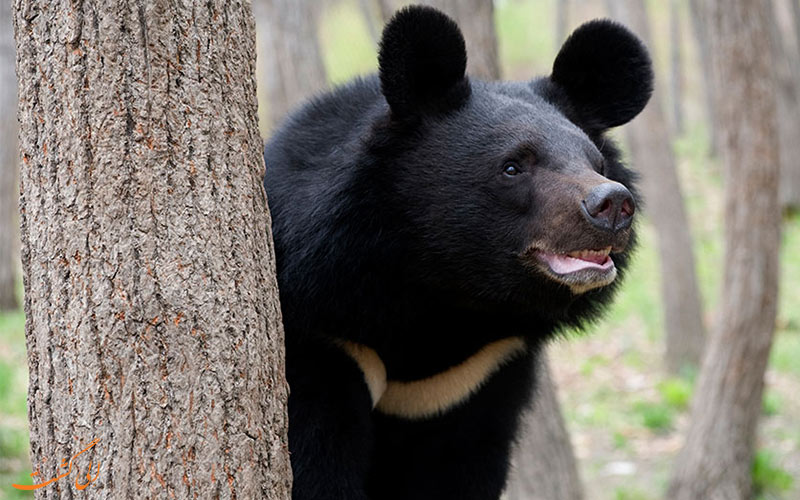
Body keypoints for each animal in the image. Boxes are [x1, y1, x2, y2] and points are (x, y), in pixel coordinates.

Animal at [266, 4, 652, 500]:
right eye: (513, 167)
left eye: (596, 163)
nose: (612, 205)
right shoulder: (325, 338)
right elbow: (314, 457)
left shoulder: (476, 378)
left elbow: (459, 468)